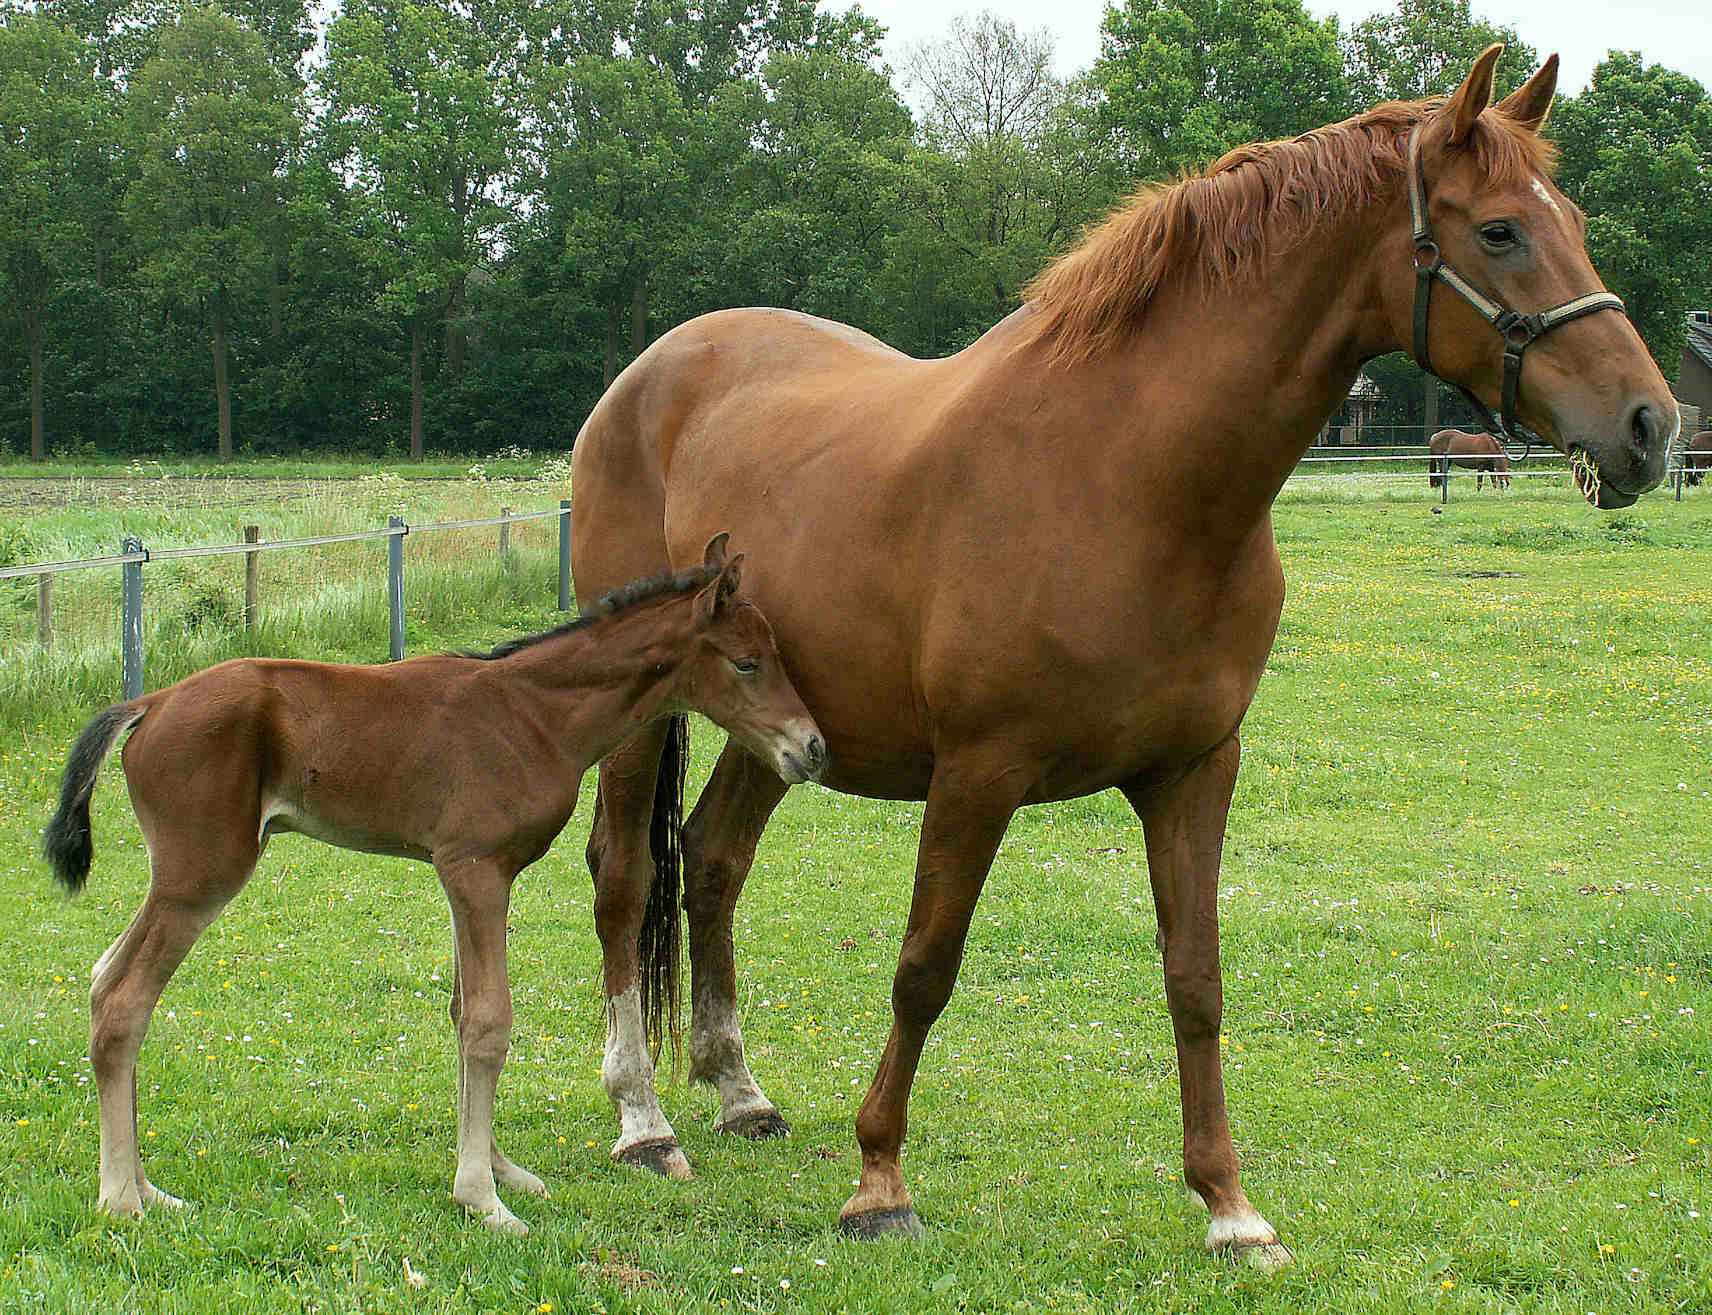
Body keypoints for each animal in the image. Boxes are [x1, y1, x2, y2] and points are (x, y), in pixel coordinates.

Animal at [38, 534, 814, 1232]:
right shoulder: (474, 867)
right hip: (198, 875)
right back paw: (122, 1196)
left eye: (778, 652)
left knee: (104, 978)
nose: (810, 747)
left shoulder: (469, 873)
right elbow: (489, 1022)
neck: (533, 711)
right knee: (124, 997)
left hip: (179, 879)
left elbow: (464, 1009)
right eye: (747, 662)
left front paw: (502, 1171)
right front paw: (481, 1197)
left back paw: (149, 1186)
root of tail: (150, 702)